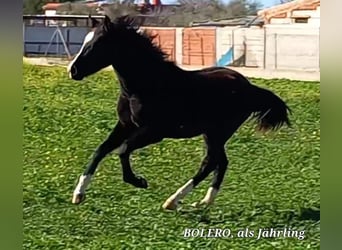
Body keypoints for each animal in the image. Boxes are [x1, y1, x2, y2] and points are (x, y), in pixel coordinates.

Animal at [67, 15, 292, 211]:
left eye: (98, 43)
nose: (73, 70)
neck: (145, 86)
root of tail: (249, 87)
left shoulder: (154, 132)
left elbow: (122, 150)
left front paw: (139, 181)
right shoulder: (125, 125)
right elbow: (101, 150)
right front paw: (78, 194)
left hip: (218, 133)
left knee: (210, 162)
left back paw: (172, 201)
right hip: (212, 134)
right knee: (221, 162)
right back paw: (204, 202)